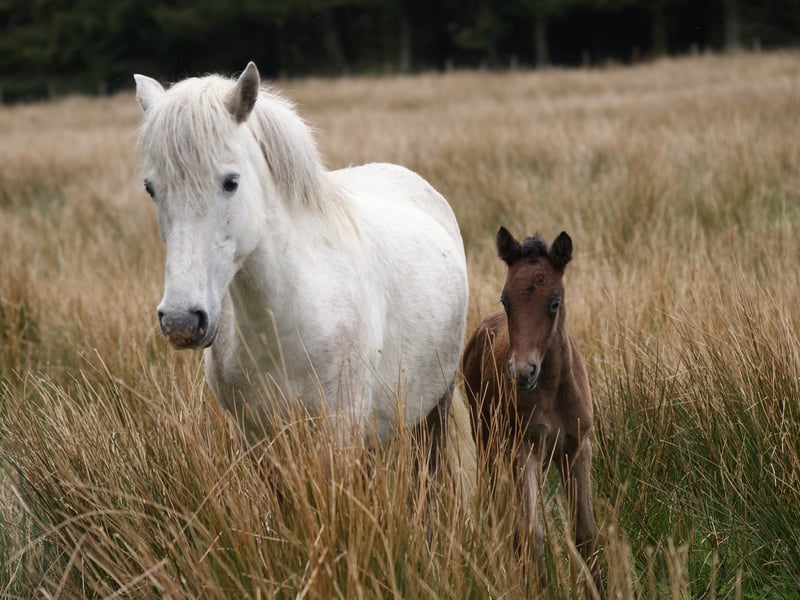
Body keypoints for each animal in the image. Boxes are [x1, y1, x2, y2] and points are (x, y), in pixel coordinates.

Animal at [133, 62, 475, 489]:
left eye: (231, 182)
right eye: (151, 188)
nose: (181, 321)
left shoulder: (340, 433)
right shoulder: (258, 442)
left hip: (435, 408)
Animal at [462, 226, 602, 594]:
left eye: (554, 302)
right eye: (506, 299)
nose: (523, 372)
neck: (551, 391)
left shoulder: (577, 448)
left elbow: (585, 533)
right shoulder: (525, 449)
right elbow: (531, 532)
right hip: (488, 441)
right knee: (494, 508)